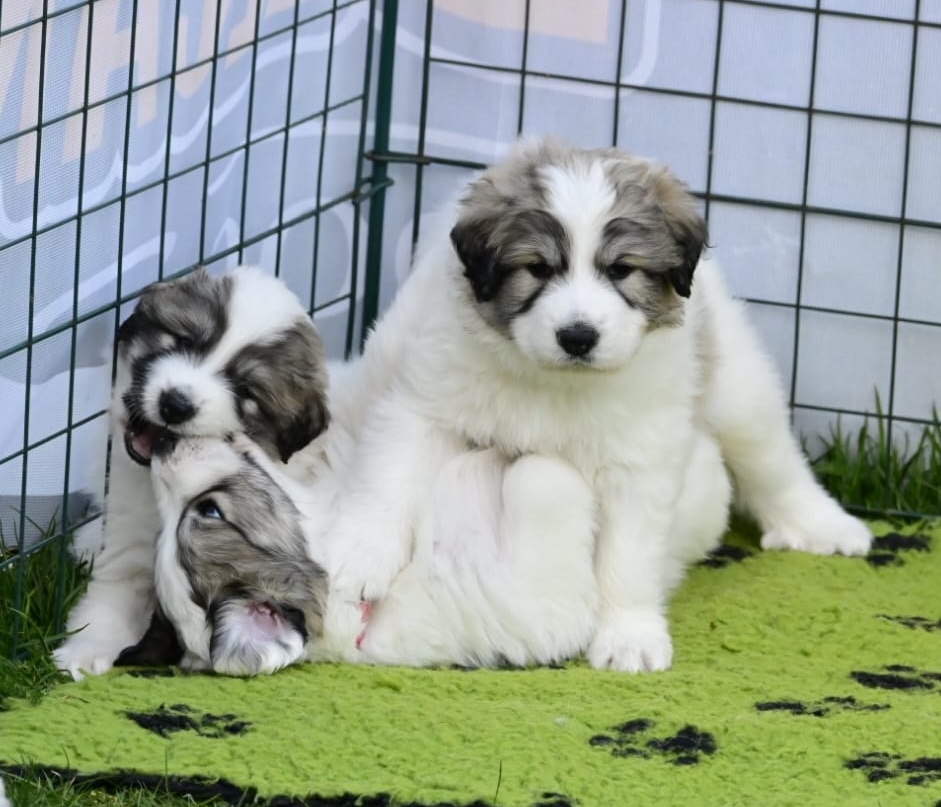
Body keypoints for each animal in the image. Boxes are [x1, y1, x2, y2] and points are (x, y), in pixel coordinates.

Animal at [53, 267, 330, 679]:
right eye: (184, 341)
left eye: (245, 390)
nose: (176, 404)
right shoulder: (129, 531)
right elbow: (115, 584)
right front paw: (87, 648)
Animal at [319, 137, 873, 674]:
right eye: (538, 268)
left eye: (622, 269)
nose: (578, 336)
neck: (555, 384)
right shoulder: (424, 403)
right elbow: (386, 482)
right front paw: (354, 558)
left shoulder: (639, 463)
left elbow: (627, 558)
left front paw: (630, 638)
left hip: (737, 385)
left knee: (773, 459)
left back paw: (824, 526)